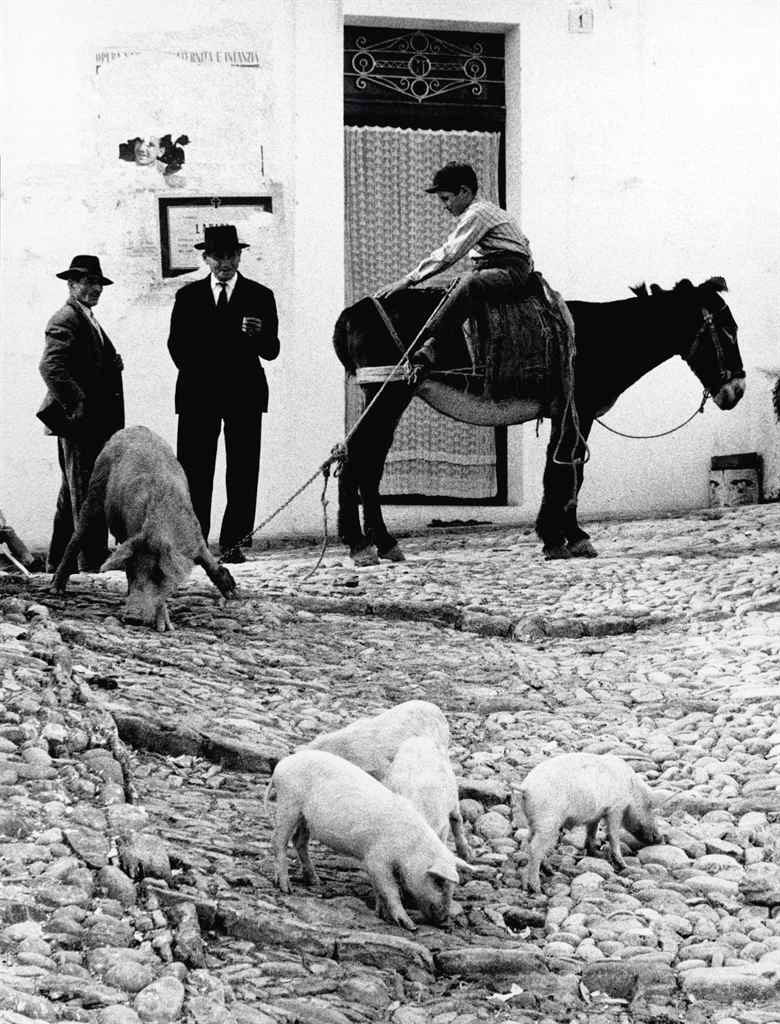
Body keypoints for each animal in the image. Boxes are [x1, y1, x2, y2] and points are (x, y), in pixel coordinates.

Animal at [50, 425, 234, 630]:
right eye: (130, 572)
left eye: (158, 574)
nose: (131, 618)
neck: (158, 532)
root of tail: (131, 428)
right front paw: (165, 628)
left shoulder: (196, 537)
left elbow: (209, 563)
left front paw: (231, 593)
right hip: (95, 491)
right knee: (76, 538)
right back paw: (56, 590)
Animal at [266, 749, 468, 933]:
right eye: (439, 882)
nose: (444, 921)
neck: (410, 847)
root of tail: (282, 765)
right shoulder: (376, 858)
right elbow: (389, 889)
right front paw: (410, 925)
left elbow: (380, 889)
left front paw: (382, 914)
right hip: (289, 804)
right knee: (278, 841)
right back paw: (286, 888)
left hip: (304, 818)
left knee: (298, 841)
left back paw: (315, 881)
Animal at [520, 749, 659, 892]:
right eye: (650, 805)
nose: (660, 838)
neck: (630, 789)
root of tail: (526, 788)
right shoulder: (615, 809)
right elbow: (613, 835)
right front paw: (624, 866)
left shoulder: (596, 814)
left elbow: (592, 831)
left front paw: (598, 854)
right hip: (548, 821)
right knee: (534, 849)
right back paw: (537, 888)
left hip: (534, 822)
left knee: (527, 842)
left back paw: (543, 876)